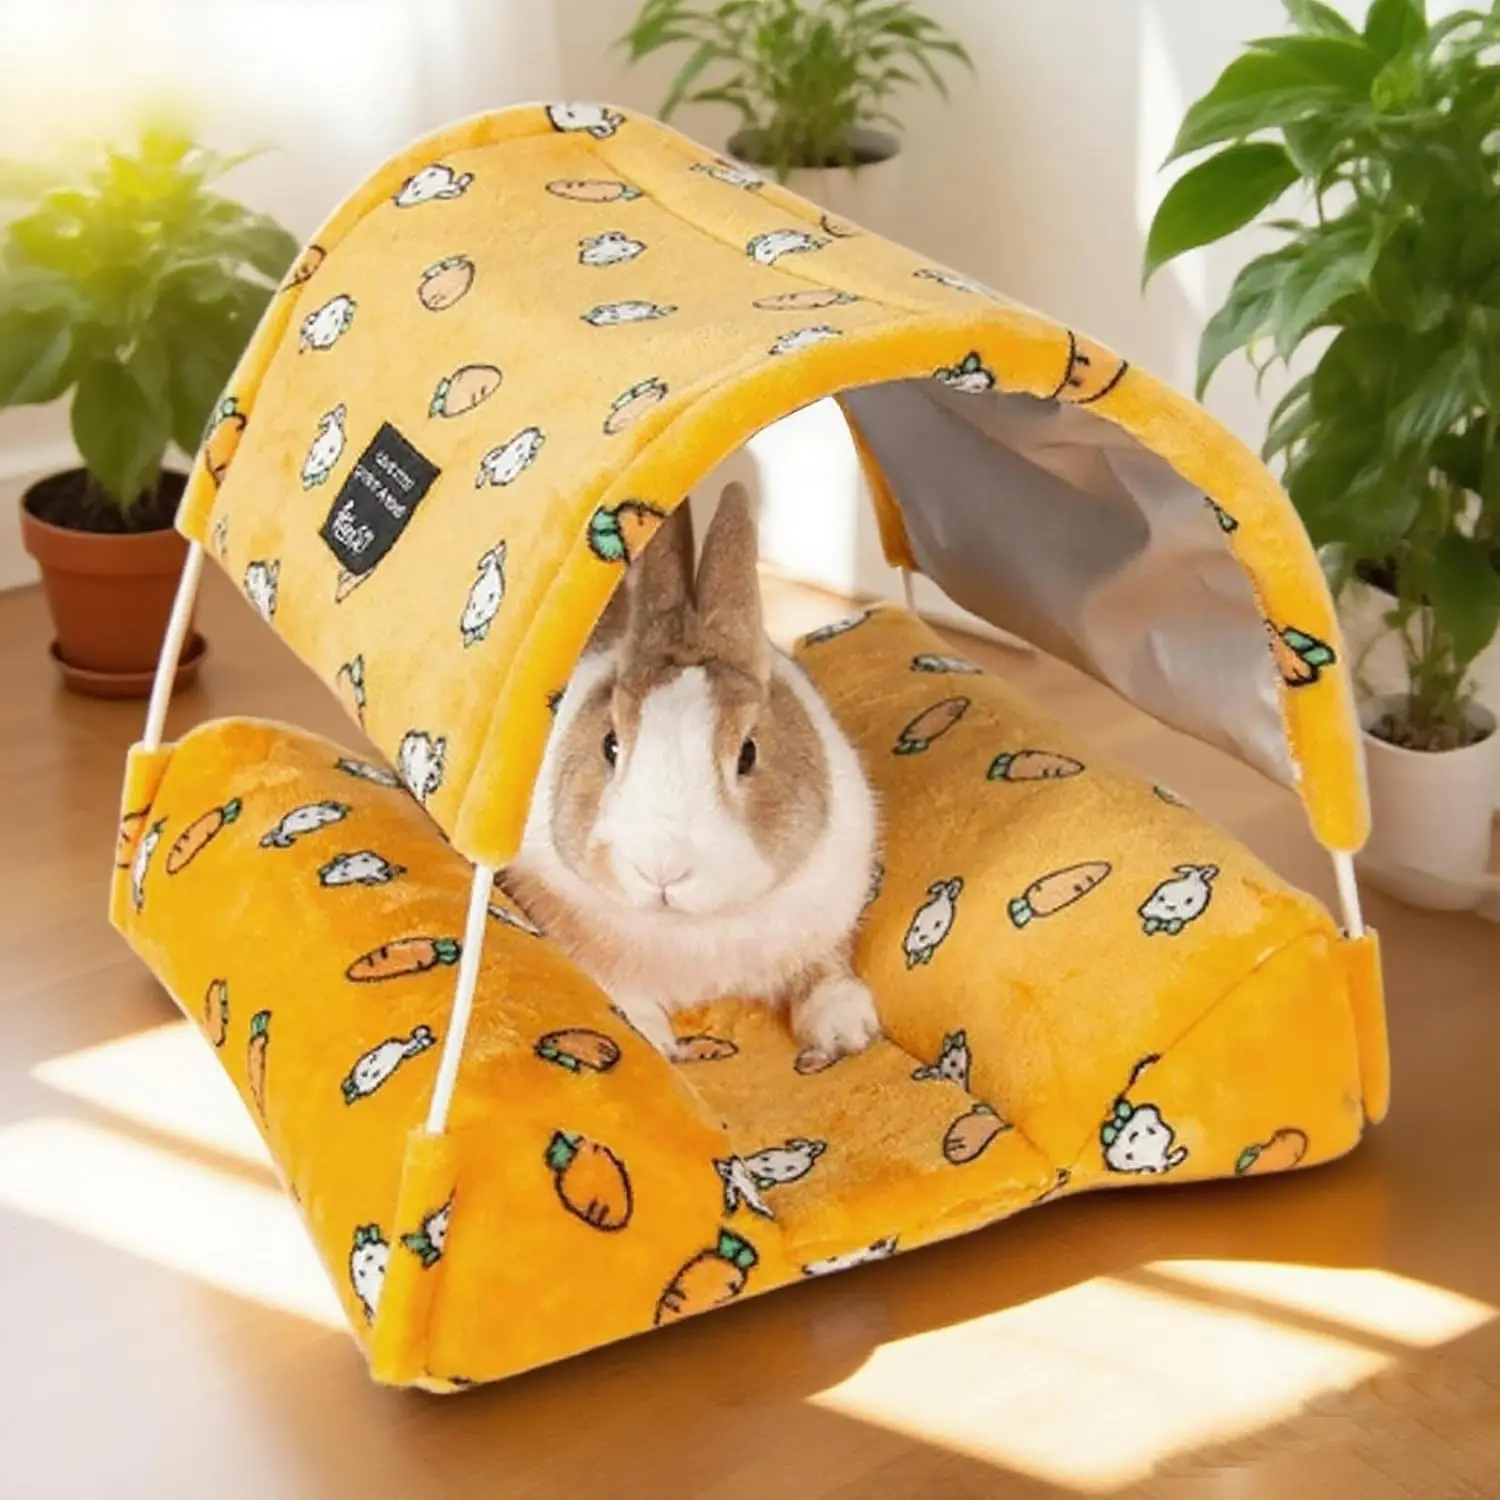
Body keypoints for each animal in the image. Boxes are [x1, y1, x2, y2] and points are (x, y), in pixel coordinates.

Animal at [504, 483, 882, 1064]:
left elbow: (826, 971)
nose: (663, 871)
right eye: (610, 745)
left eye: (747, 754)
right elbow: (620, 993)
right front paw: (653, 1040)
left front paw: (846, 1032)